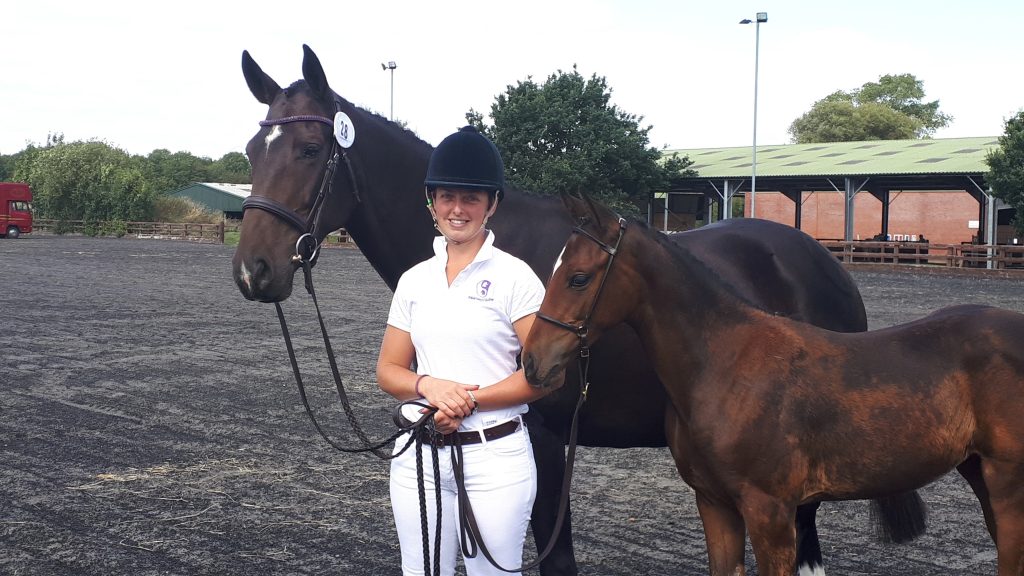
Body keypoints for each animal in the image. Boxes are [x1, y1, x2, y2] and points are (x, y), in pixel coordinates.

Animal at [524, 193, 1024, 573]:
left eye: (579, 278)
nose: (532, 361)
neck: (725, 362)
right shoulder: (715, 504)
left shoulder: (771, 512)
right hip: (978, 471)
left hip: (1007, 483)